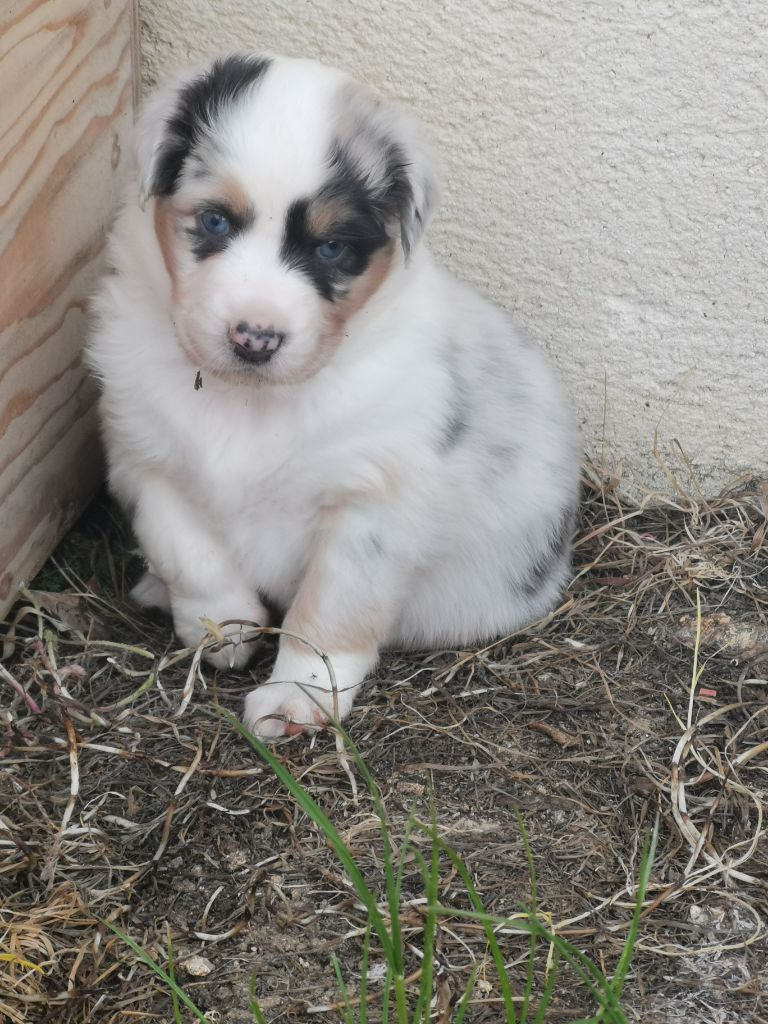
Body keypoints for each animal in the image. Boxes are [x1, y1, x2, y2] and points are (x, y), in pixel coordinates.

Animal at [88, 51, 581, 737]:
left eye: (330, 248)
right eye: (215, 220)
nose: (256, 338)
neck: (249, 401)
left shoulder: (370, 502)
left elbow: (329, 611)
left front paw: (297, 699)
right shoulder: (144, 454)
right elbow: (188, 549)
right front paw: (222, 628)